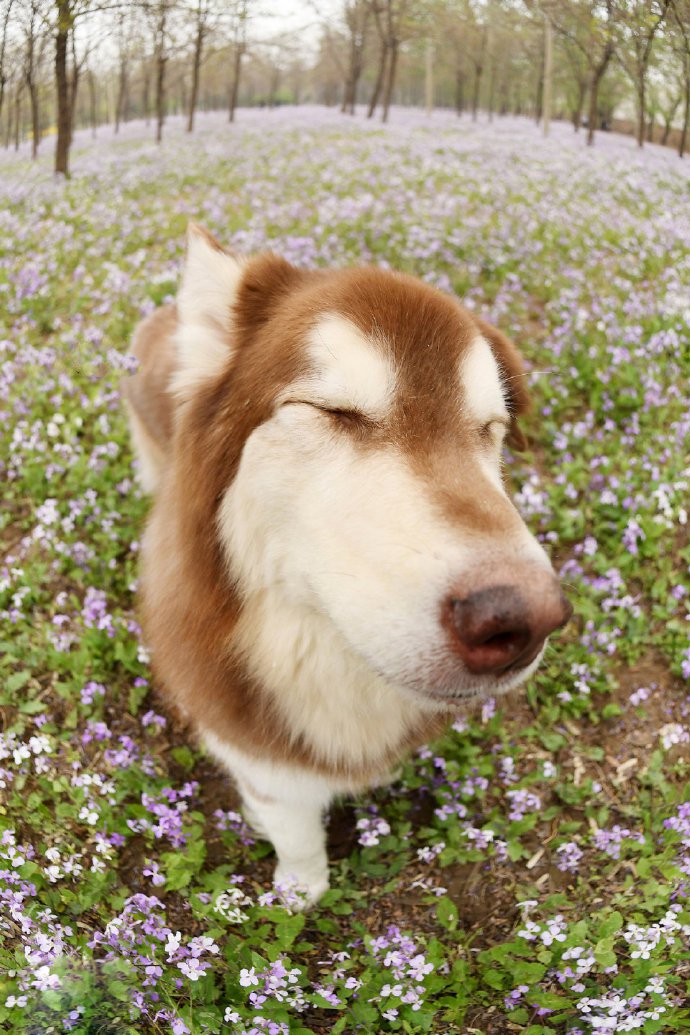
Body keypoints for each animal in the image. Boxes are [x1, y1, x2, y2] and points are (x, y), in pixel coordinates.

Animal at [125, 224, 571, 906]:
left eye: (490, 429)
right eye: (333, 411)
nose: (523, 619)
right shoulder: (254, 753)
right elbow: (295, 832)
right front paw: (299, 893)